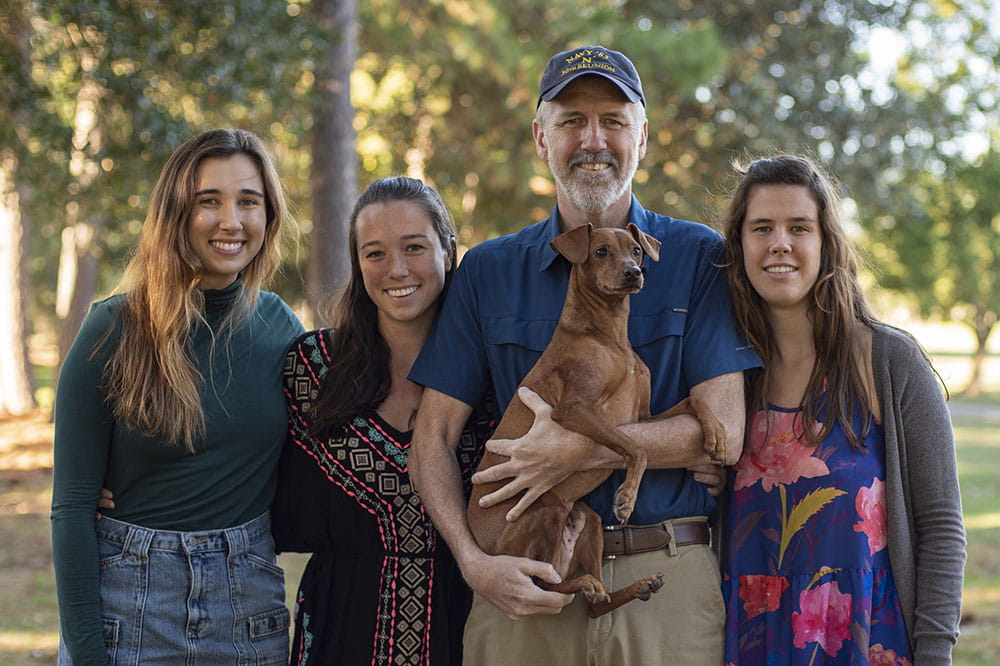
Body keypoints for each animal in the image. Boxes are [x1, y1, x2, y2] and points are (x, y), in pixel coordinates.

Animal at [468, 223, 728, 616]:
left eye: (636, 250)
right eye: (601, 252)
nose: (634, 273)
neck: (608, 336)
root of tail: (485, 547)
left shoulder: (642, 417)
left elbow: (693, 399)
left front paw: (716, 434)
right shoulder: (576, 409)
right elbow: (637, 449)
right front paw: (626, 498)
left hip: (586, 519)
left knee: (595, 604)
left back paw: (636, 586)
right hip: (543, 512)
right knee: (544, 586)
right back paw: (585, 583)